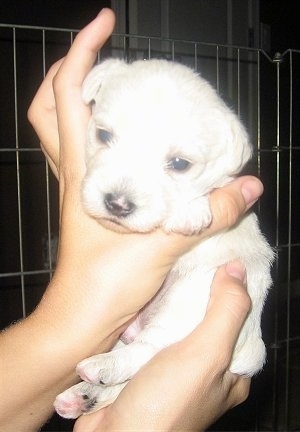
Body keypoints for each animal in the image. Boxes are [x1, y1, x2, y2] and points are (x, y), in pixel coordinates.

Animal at [54, 58, 274, 418]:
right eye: (103, 135)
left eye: (180, 164)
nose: (117, 204)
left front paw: (191, 211)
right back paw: (81, 395)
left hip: (187, 304)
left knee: (148, 350)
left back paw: (101, 368)